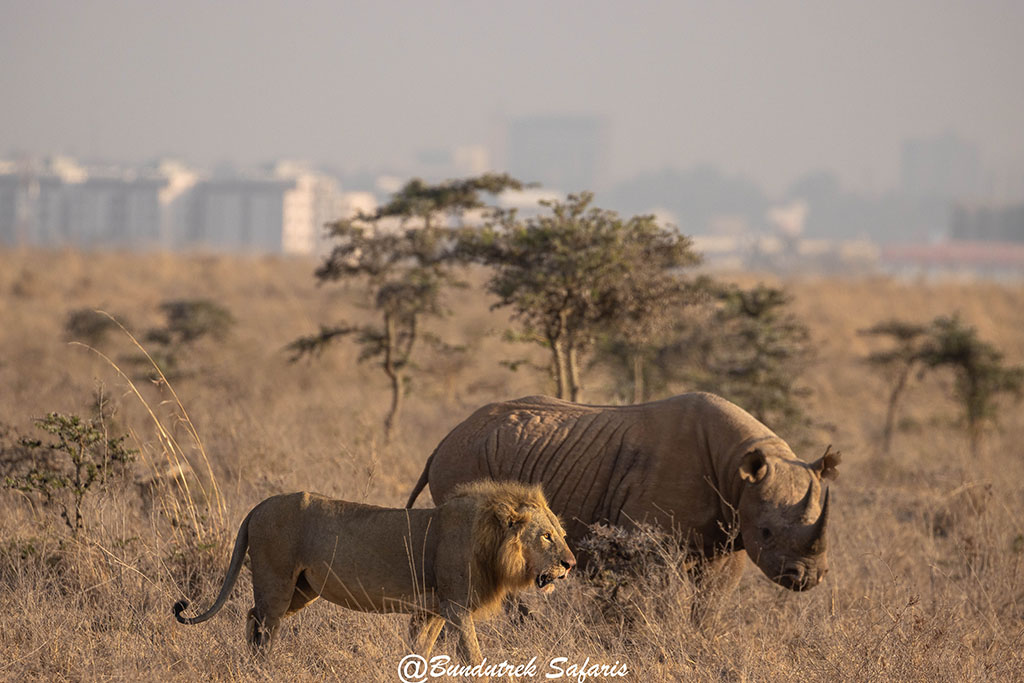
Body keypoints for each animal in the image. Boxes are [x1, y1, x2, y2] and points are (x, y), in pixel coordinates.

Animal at [175, 479, 577, 663]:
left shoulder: (432, 611)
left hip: (300, 590)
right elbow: (473, 656)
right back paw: (263, 668)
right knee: (263, 627)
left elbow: (420, 650)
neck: (491, 542)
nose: (570, 564)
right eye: (545, 536)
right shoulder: (457, 608)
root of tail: (258, 507)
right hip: (276, 583)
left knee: (251, 615)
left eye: (561, 534)